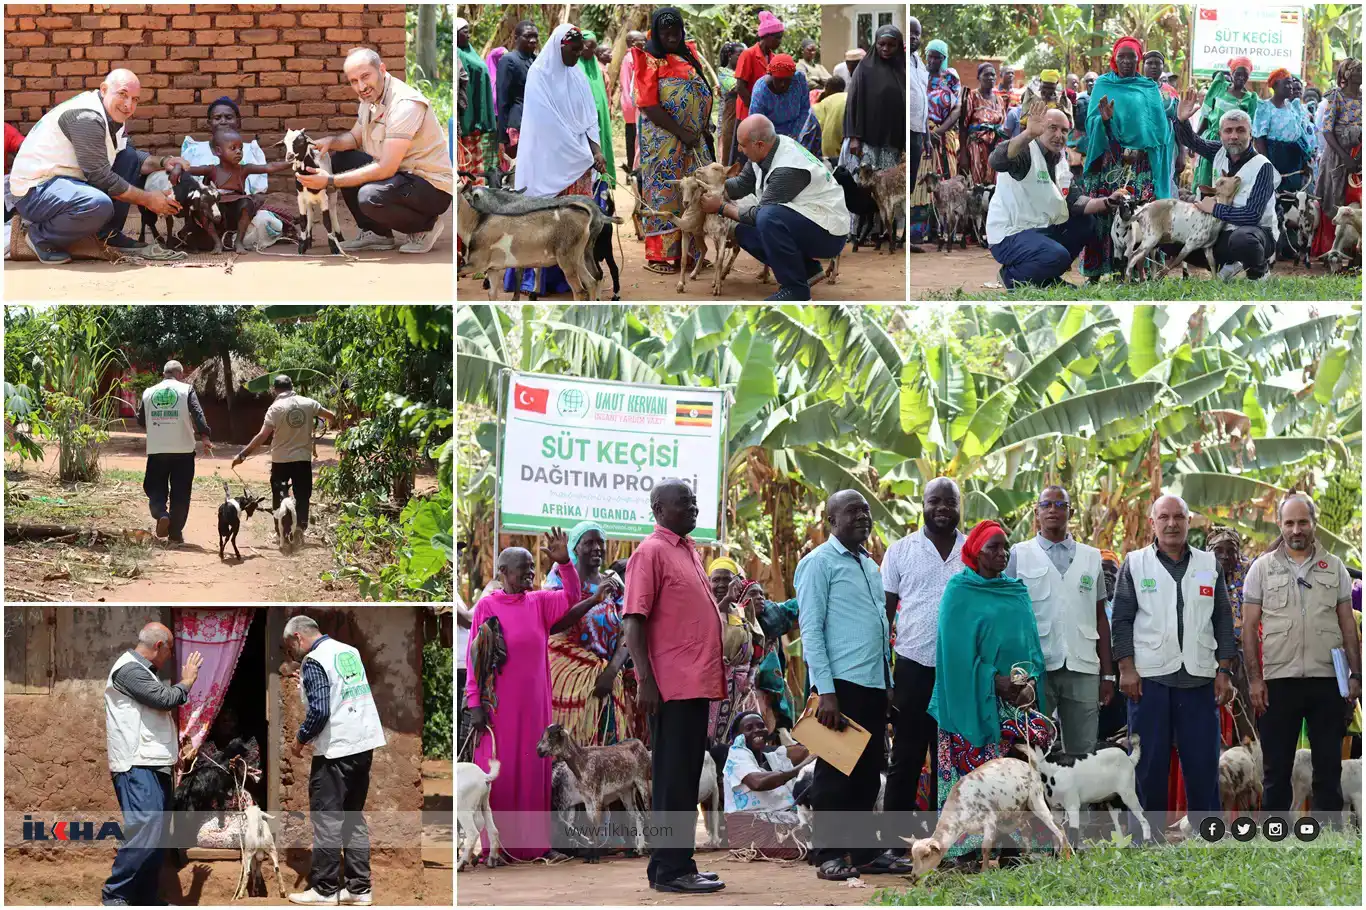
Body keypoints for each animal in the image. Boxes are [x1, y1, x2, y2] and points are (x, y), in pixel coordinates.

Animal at [280, 127, 346, 255]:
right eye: (285, 143)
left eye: (301, 142)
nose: (289, 156)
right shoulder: (300, 198)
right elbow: (303, 221)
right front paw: (302, 245)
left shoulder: (324, 198)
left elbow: (327, 221)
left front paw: (333, 246)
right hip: (308, 201)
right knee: (310, 214)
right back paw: (309, 240)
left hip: (332, 194)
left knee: (333, 212)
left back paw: (339, 238)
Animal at [532, 721, 650, 858]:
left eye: (552, 736)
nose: (538, 750)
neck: (583, 761)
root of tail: (639, 742)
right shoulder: (586, 798)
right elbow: (590, 821)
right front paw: (590, 854)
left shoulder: (596, 795)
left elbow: (596, 822)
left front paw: (595, 857)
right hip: (626, 791)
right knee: (638, 817)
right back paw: (639, 849)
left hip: (642, 781)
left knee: (648, 813)